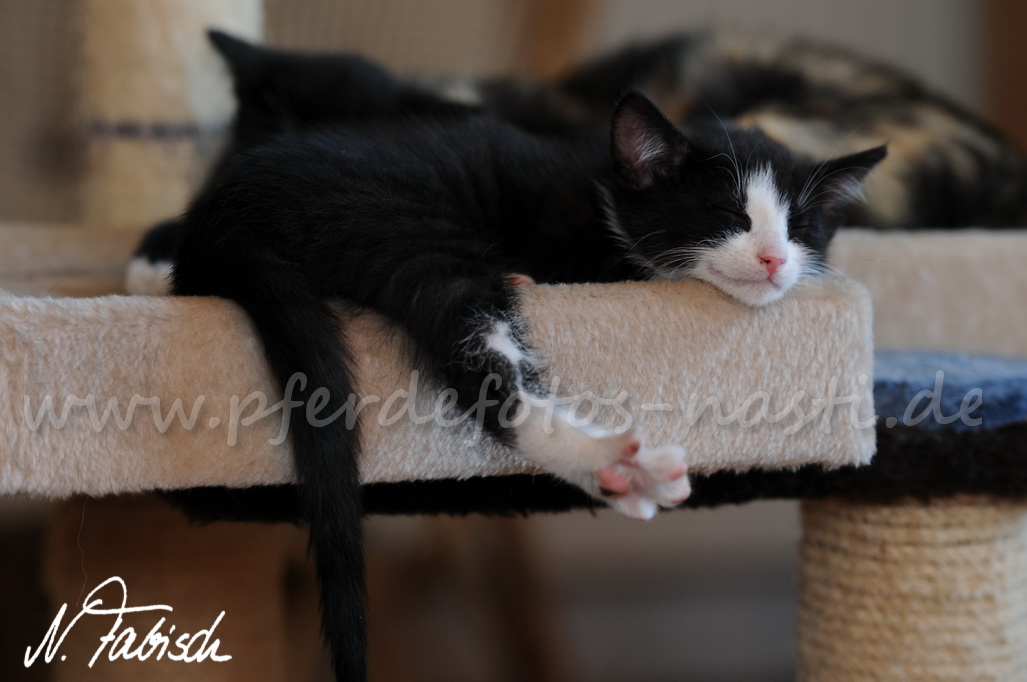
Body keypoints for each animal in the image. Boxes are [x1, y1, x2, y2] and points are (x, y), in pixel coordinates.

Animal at [168, 76, 883, 679]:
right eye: (730, 216)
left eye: (801, 227)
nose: (774, 259)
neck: (605, 205)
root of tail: (217, 217)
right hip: (398, 226)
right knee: (477, 367)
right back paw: (611, 461)